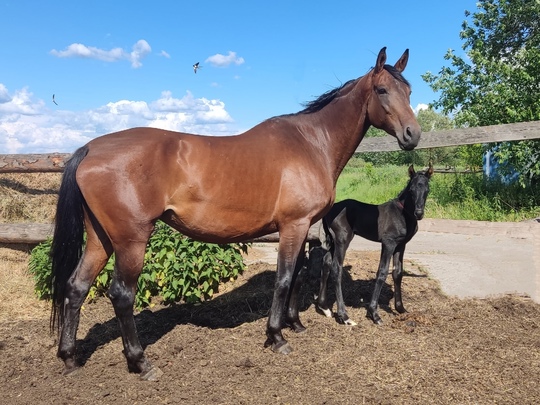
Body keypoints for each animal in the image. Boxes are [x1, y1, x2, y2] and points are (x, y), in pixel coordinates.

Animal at [50, 47, 421, 380]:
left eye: (409, 91)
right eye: (382, 90)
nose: (413, 134)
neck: (311, 143)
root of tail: (90, 148)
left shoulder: (304, 228)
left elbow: (299, 275)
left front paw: (295, 324)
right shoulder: (294, 225)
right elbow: (284, 278)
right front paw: (276, 336)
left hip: (100, 238)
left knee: (77, 286)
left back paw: (70, 358)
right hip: (131, 241)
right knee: (122, 295)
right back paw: (141, 363)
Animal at [316, 164, 433, 326]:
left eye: (427, 189)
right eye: (411, 190)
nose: (419, 213)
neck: (402, 215)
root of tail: (330, 210)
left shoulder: (401, 245)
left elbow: (398, 273)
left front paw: (400, 308)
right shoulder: (388, 243)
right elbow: (382, 272)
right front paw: (374, 314)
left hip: (333, 242)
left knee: (326, 262)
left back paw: (324, 307)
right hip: (342, 240)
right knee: (336, 268)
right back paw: (344, 316)